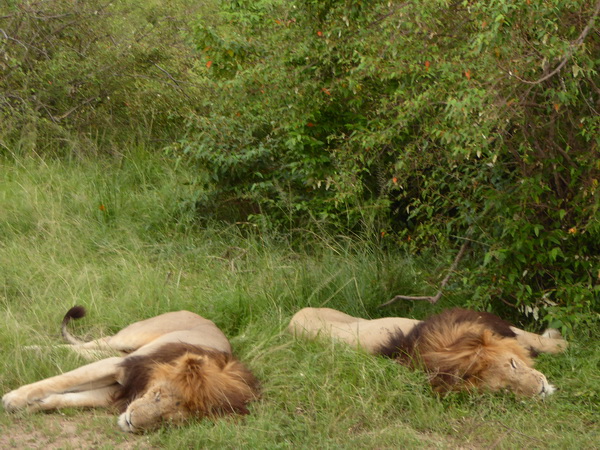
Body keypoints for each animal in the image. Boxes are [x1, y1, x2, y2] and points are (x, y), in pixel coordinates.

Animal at [2, 308, 260, 430]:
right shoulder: (118, 368)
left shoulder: (114, 391)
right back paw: (24, 348)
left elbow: (69, 398)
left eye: (168, 420)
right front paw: (13, 399)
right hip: (127, 340)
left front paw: (35, 406)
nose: (131, 422)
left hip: (118, 351)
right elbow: (62, 380)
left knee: (83, 350)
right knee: (92, 344)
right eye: (158, 396)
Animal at [290, 308, 568, 396]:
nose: (541, 390)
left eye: (513, 364)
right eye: (505, 390)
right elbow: (539, 341)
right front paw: (561, 341)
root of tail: (291, 321)